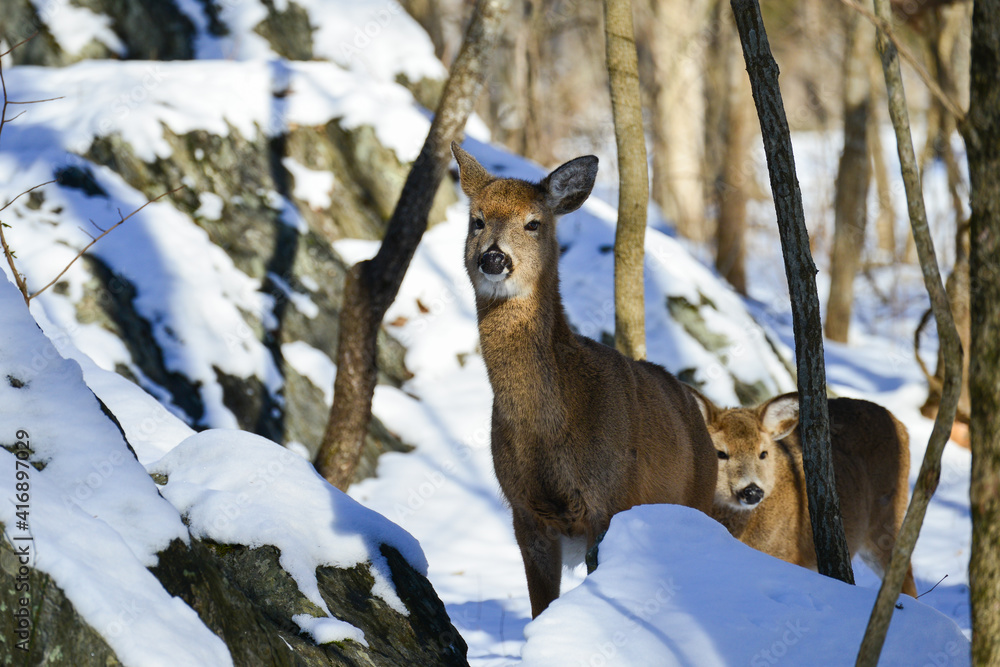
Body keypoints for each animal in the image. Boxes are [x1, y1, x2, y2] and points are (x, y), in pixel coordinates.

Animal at [451, 142, 718, 618]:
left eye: (533, 223)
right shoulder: (524, 512)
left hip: (697, 498)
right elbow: (540, 606)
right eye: (477, 219)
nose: (494, 258)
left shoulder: (609, 501)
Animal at [689, 389, 917, 597]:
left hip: (888, 516)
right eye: (720, 453)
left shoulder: (789, 556)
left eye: (763, 453)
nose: (752, 491)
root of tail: (901, 425)